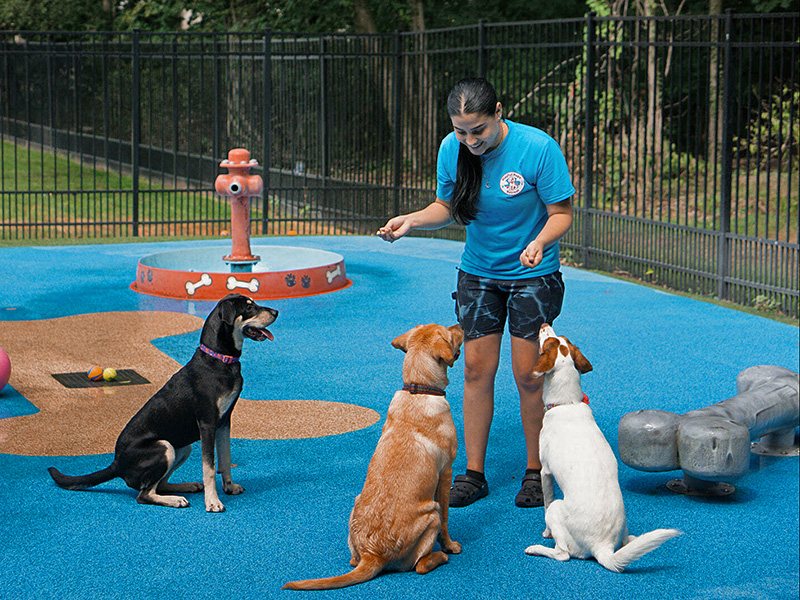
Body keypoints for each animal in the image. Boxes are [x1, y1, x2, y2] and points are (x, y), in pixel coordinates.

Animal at [48, 294, 278, 510]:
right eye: (249, 307)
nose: (276, 312)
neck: (219, 359)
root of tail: (117, 463)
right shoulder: (207, 424)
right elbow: (210, 468)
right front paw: (213, 502)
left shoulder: (224, 422)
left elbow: (225, 459)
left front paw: (229, 487)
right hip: (164, 447)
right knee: (144, 494)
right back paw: (175, 500)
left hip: (182, 447)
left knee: (160, 484)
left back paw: (185, 487)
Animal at [284, 324, 466, 592]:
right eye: (449, 333)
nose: (461, 324)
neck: (418, 388)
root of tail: (373, 554)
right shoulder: (446, 473)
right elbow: (446, 519)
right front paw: (450, 545)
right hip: (430, 513)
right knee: (420, 565)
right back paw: (440, 556)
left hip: (356, 505)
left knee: (353, 561)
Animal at [524, 324, 680, 572]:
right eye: (560, 339)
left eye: (548, 341)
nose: (544, 325)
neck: (568, 404)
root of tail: (602, 546)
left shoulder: (545, 471)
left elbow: (545, 503)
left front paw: (545, 533)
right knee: (627, 540)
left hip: (559, 510)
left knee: (562, 554)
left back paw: (536, 548)